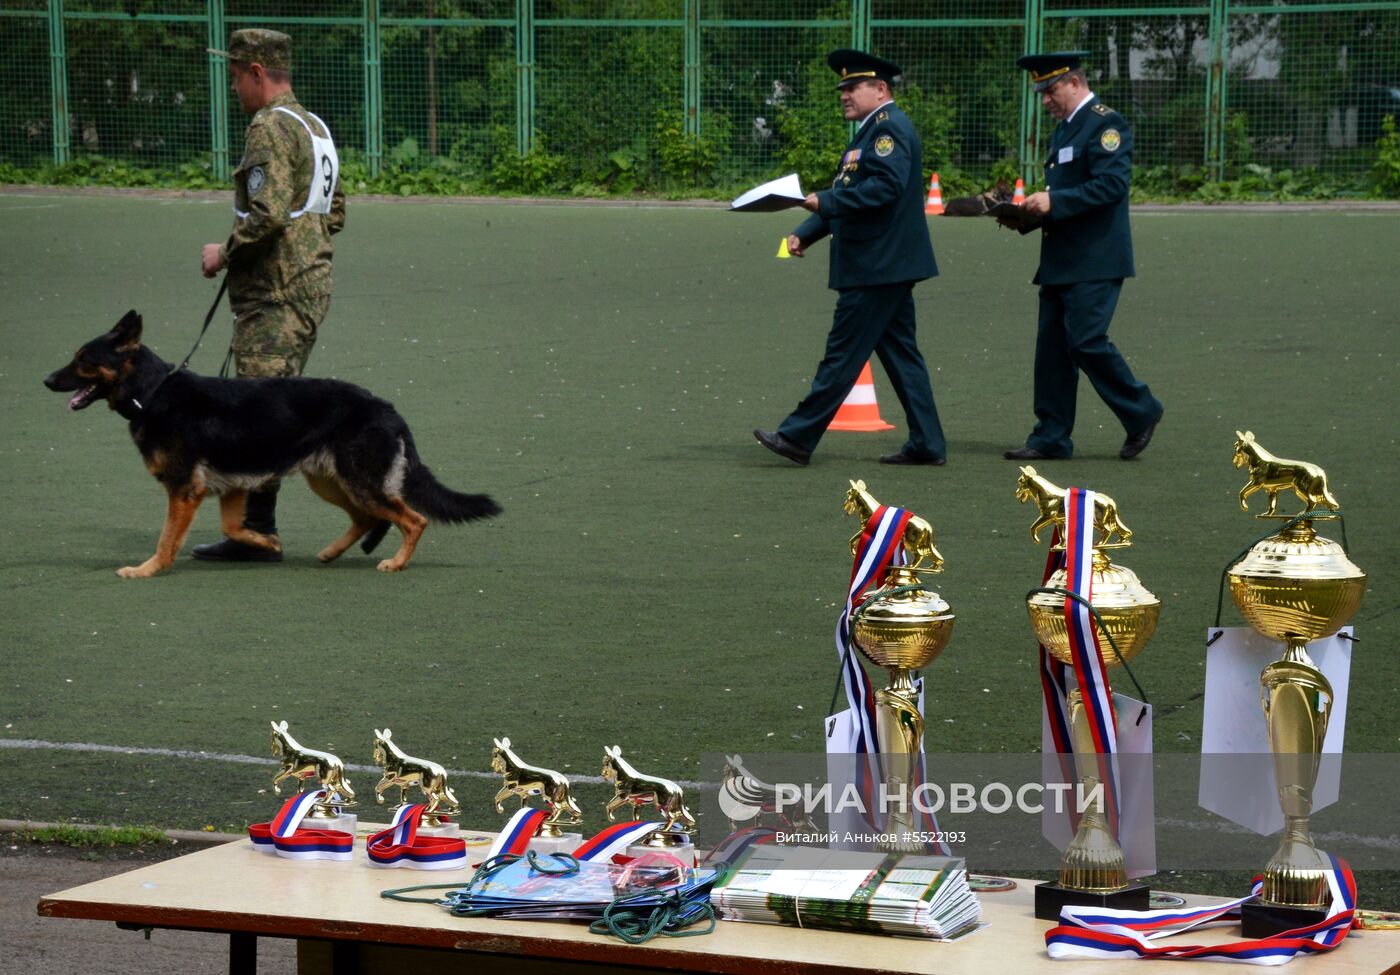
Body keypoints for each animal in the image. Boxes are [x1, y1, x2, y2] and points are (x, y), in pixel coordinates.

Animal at [45, 308, 504, 574]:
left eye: (83, 361)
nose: (46, 380)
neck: (153, 391)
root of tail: (387, 407)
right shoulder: (230, 488)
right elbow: (234, 526)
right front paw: (267, 543)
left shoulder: (183, 491)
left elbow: (166, 538)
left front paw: (148, 568)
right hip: (331, 482)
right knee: (366, 518)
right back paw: (331, 553)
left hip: (359, 482)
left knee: (413, 519)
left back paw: (395, 562)